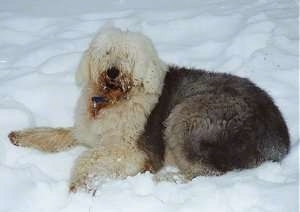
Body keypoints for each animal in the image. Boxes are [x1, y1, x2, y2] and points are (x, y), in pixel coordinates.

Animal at [8, 26, 290, 192]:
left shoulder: (135, 151)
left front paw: (81, 184)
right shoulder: (87, 132)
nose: (113, 72)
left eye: (128, 56)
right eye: (107, 52)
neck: (114, 100)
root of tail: (280, 138)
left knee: (207, 171)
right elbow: (57, 134)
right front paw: (20, 136)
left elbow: (89, 157)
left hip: (187, 117)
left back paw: (167, 180)